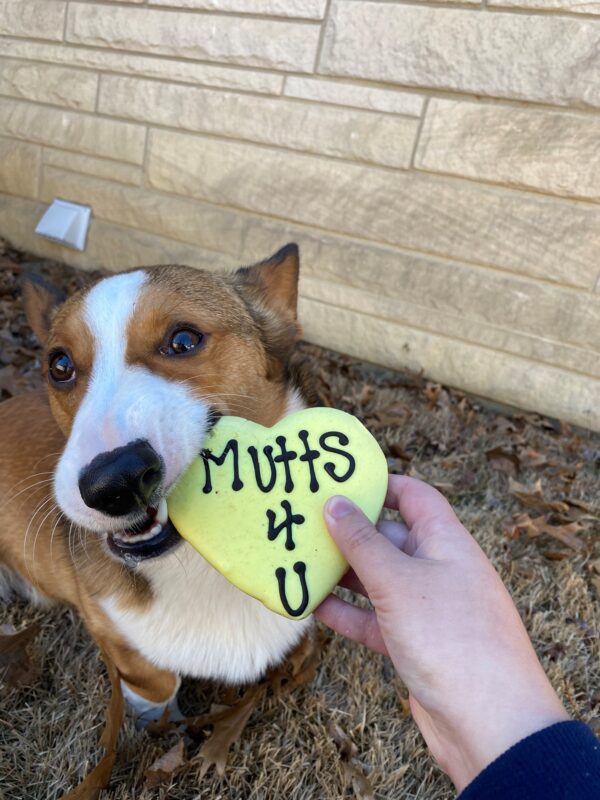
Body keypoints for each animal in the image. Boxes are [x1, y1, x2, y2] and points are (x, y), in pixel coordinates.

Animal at [0, 242, 316, 720]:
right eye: (59, 365)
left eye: (184, 340)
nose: (115, 482)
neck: (203, 560)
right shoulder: (108, 627)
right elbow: (156, 680)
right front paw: (157, 720)